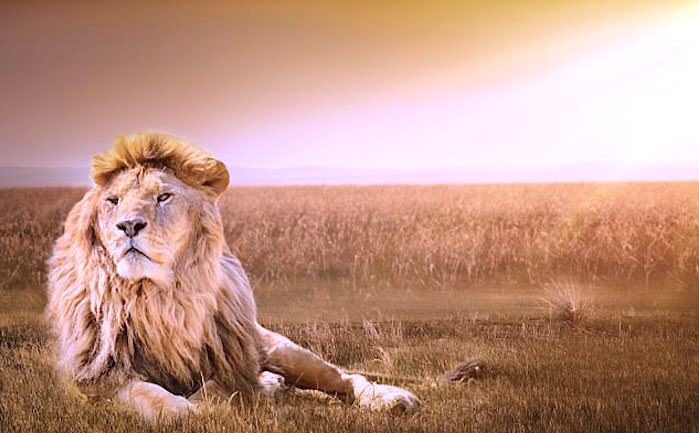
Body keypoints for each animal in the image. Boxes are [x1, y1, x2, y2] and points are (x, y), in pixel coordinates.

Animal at [46, 132, 420, 421]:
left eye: (163, 196)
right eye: (113, 200)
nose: (129, 225)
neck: (158, 297)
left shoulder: (231, 360)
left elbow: (220, 387)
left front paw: (232, 396)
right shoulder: (96, 377)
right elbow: (149, 395)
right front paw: (184, 410)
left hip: (278, 348)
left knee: (343, 377)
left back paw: (391, 399)